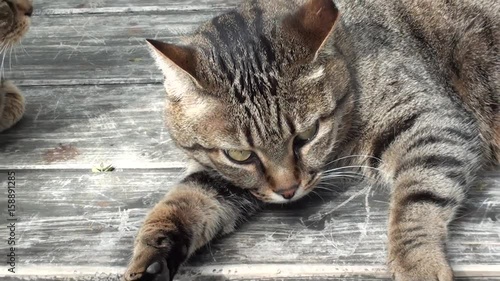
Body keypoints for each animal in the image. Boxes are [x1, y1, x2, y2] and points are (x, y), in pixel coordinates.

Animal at [123, 0, 498, 280]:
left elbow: (417, 200)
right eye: (240, 155)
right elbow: (185, 199)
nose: (288, 190)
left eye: (306, 135)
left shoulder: (433, 121)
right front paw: (153, 255)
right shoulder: (224, 174)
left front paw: (416, 263)